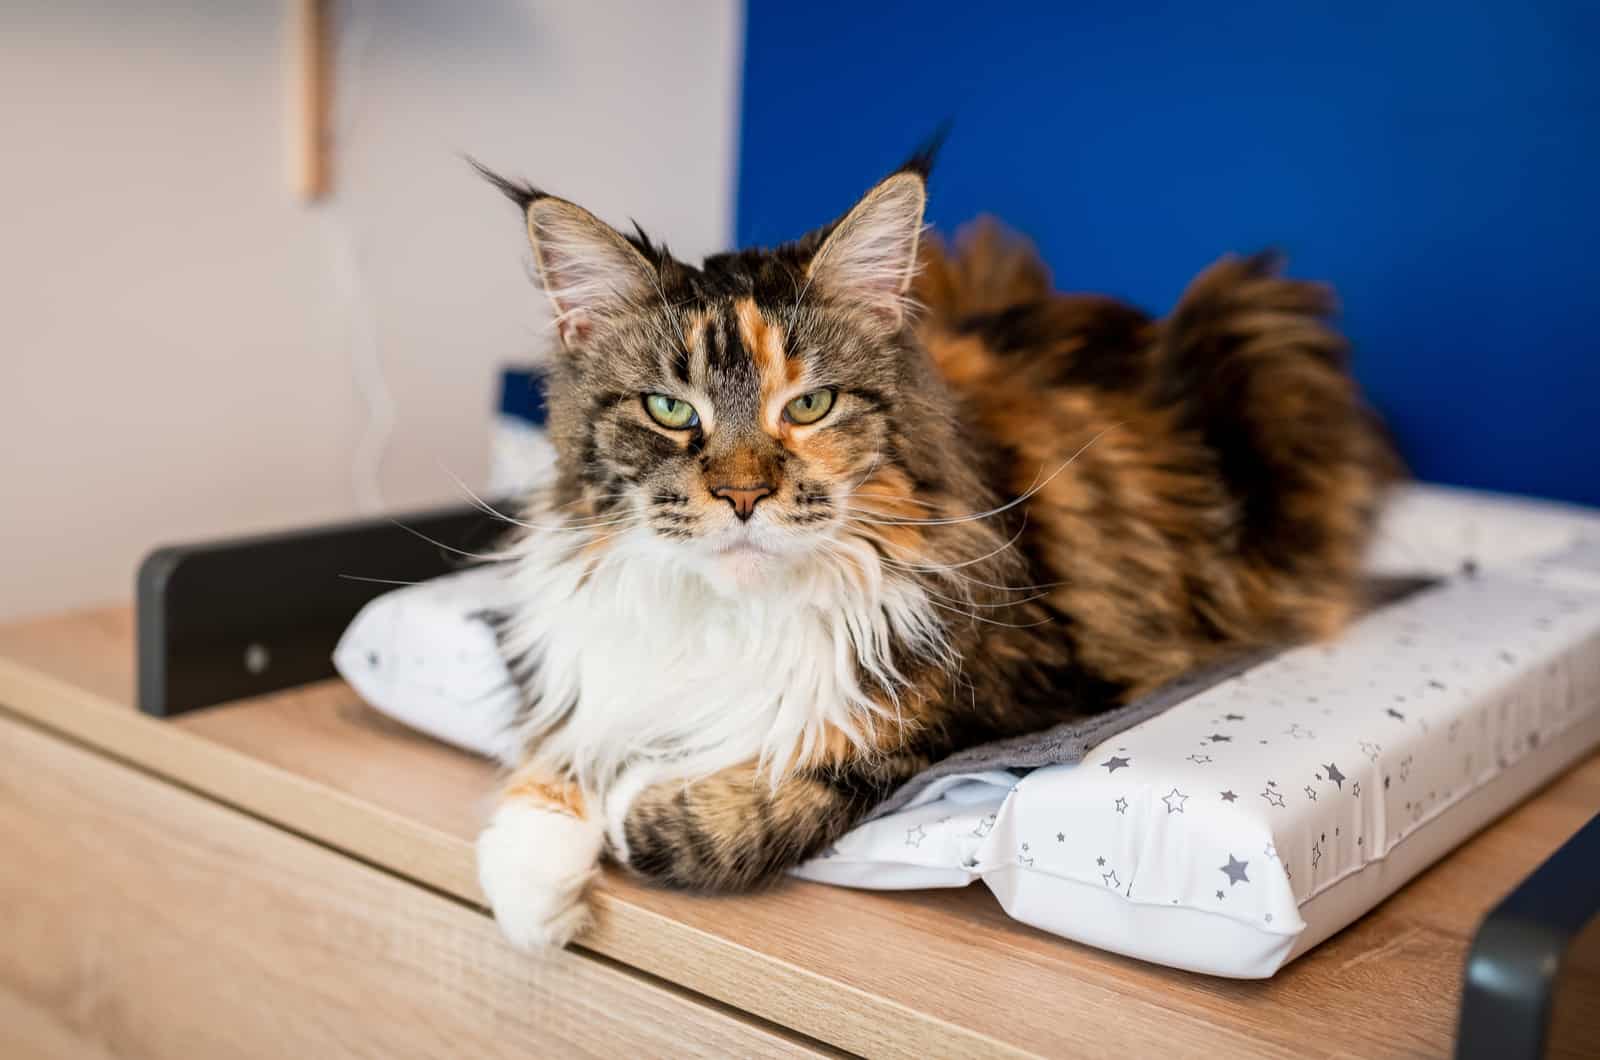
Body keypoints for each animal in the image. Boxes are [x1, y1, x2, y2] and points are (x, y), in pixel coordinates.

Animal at [467, 145, 1395, 947]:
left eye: (810, 406)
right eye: (669, 410)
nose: (742, 496)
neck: (737, 612)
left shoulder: (993, 702)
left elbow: (783, 784)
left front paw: (636, 796)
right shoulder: (581, 678)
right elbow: (549, 758)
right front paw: (533, 896)